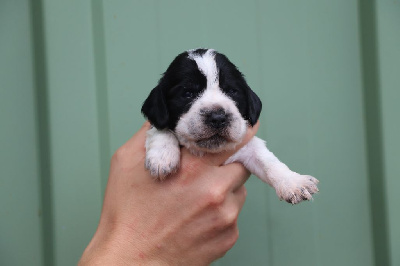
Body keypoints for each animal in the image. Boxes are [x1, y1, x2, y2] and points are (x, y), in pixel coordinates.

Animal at [141, 48, 318, 205]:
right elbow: (158, 129)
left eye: (232, 91)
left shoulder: (246, 146)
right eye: (187, 94)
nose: (218, 117)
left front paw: (293, 182)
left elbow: (268, 160)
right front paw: (162, 156)